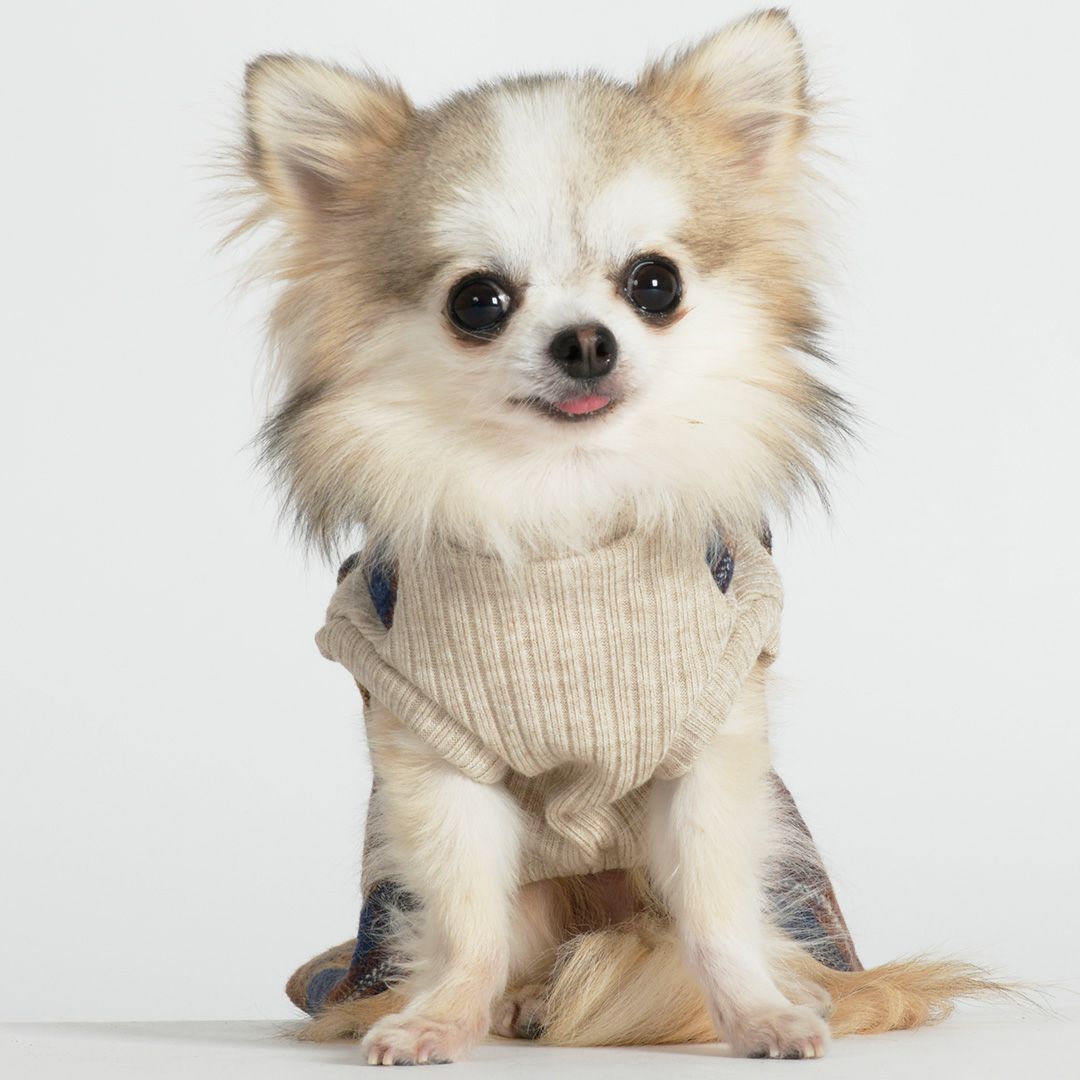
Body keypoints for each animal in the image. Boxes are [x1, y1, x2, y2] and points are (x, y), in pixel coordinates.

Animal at [234, 8, 1004, 1064]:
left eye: (654, 283)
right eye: (478, 301)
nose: (587, 341)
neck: (566, 512)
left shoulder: (712, 749)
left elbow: (715, 911)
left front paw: (759, 1015)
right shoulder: (432, 761)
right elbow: (466, 920)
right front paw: (440, 1018)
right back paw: (511, 1005)